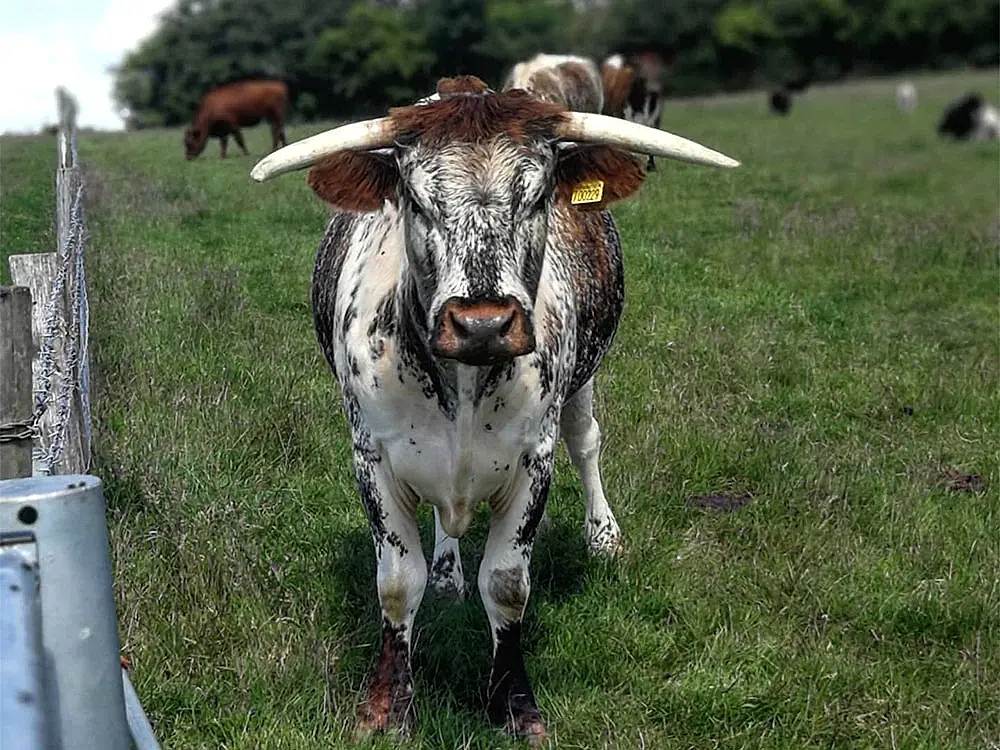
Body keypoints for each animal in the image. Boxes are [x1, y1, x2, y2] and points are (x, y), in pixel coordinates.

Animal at [250, 76, 738, 744]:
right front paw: (386, 708)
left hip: (584, 381)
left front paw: (514, 704)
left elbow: (507, 584)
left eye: (536, 196)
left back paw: (603, 535)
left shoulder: (534, 460)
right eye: (416, 201)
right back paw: (448, 572)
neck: (464, 379)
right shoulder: (371, 455)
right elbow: (397, 583)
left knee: (588, 440)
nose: (482, 323)